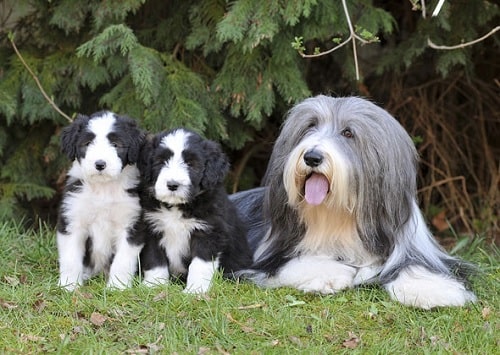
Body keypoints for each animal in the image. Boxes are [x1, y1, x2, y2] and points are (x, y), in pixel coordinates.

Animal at [58, 112, 146, 292]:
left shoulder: (131, 224)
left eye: (116, 144)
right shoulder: (73, 220)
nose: (100, 164)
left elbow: (122, 261)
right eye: (87, 143)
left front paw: (117, 287)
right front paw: (69, 285)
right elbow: (70, 258)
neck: (103, 189)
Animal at [138, 128, 252, 294]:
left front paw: (195, 290)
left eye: (191, 164)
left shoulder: (208, 232)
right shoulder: (152, 227)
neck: (177, 207)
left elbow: (199, 265)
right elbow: (155, 259)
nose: (173, 185)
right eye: (160, 162)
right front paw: (154, 285)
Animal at [232, 95, 478, 308]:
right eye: (310, 126)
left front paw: (432, 290)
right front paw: (332, 273)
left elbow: (416, 264)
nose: (312, 157)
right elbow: (290, 263)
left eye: (348, 133)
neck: (339, 217)